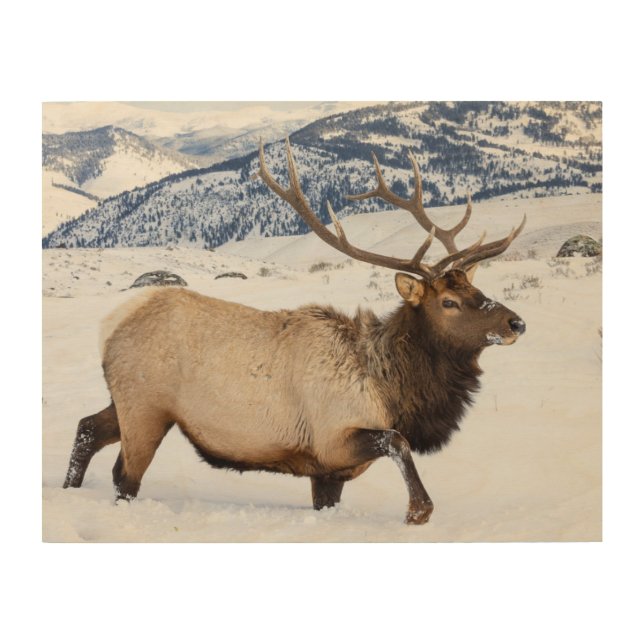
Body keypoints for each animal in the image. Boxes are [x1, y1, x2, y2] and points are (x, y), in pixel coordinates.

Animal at [62, 138, 526, 525]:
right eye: (448, 302)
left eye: (476, 289)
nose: (515, 322)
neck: (392, 392)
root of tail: (111, 324)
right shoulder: (333, 438)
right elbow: (398, 442)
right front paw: (418, 511)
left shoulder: (328, 472)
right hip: (146, 406)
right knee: (124, 475)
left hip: (127, 401)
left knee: (87, 427)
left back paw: (68, 489)